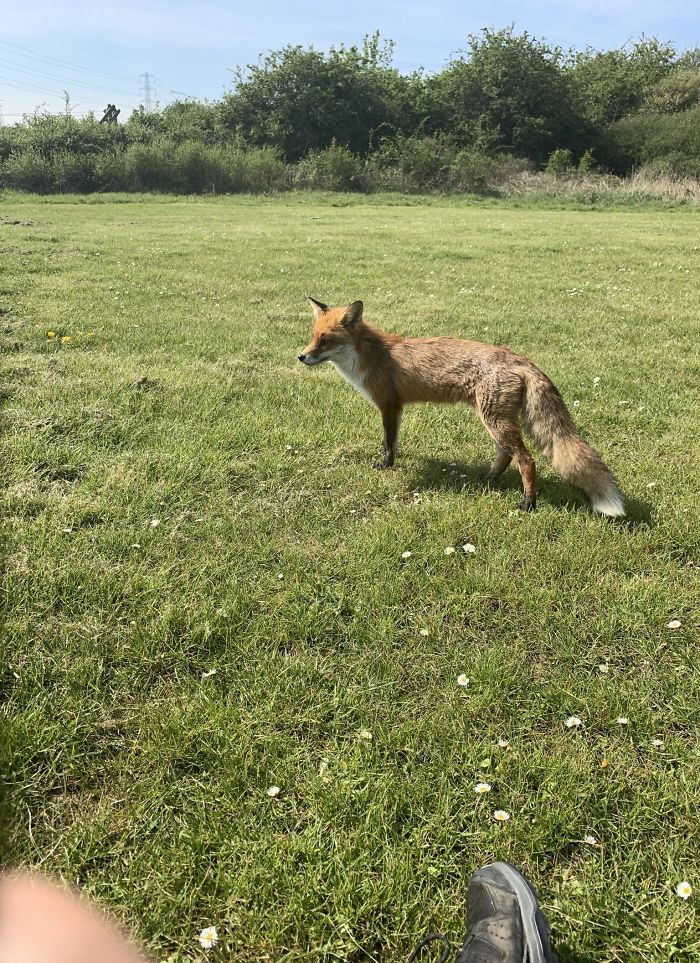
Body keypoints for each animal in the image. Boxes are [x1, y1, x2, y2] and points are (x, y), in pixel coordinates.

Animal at [298, 297, 625, 517]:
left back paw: (528, 503)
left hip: (495, 421)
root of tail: (521, 360)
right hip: (495, 419)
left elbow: (388, 443)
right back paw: (488, 480)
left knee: (526, 460)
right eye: (313, 337)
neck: (370, 355)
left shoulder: (390, 406)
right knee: (506, 455)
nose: (301, 357)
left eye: (326, 341)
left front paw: (386, 465)